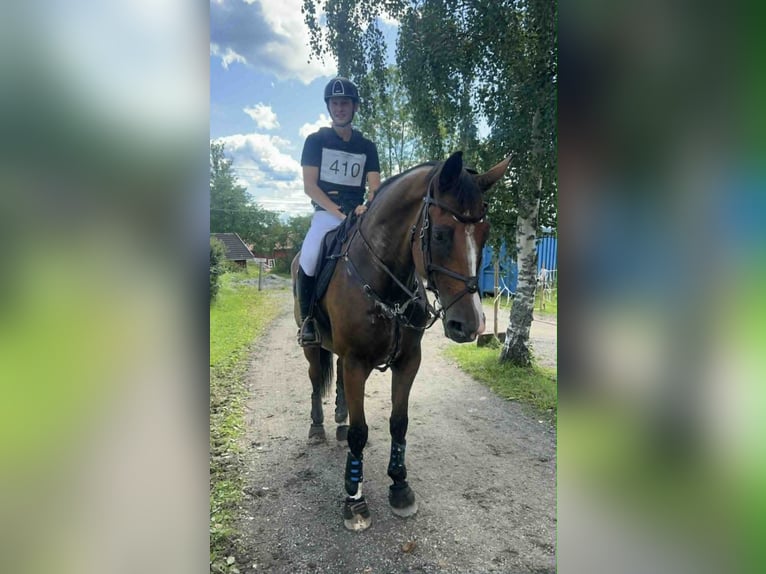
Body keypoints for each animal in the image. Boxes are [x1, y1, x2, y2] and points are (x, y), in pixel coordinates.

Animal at [290, 150, 510, 530]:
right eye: (440, 234)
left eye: (486, 233)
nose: (471, 325)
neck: (386, 285)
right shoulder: (356, 362)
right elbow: (360, 432)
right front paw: (355, 499)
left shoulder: (408, 361)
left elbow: (399, 422)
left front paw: (400, 486)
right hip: (313, 347)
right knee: (316, 379)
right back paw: (318, 426)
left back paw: (339, 417)